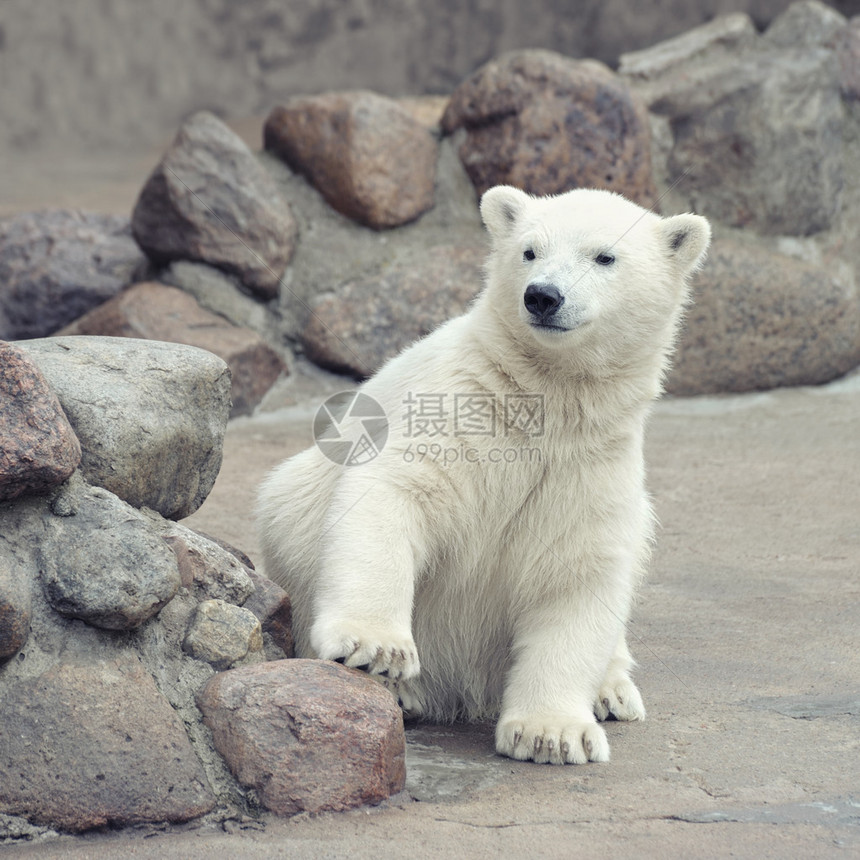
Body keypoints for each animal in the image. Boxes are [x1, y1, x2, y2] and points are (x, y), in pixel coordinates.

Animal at [256, 185, 712, 764]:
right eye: (530, 251)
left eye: (605, 257)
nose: (543, 296)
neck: (547, 396)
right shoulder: (462, 413)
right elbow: (395, 493)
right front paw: (376, 648)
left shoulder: (589, 464)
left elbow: (579, 571)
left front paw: (551, 734)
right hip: (294, 503)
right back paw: (403, 692)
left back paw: (613, 690)